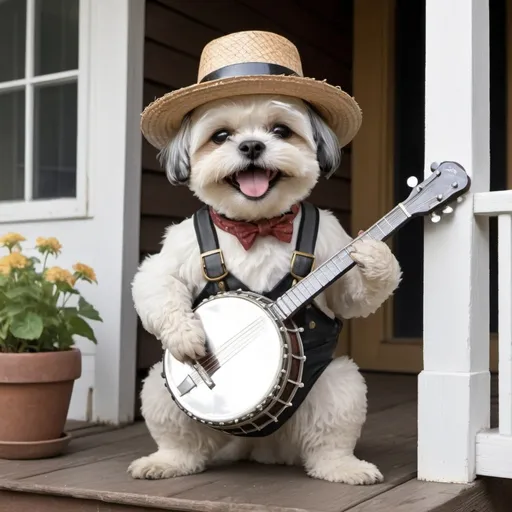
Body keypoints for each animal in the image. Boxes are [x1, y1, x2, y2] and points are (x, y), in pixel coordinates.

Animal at [127, 94, 400, 486]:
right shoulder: (177, 250)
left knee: (328, 442)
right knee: (183, 445)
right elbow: (156, 281)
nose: (252, 145)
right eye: (220, 136)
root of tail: (259, 444)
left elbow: (352, 296)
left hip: (339, 385)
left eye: (281, 131)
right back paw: (165, 463)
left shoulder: (333, 242)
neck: (258, 224)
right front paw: (185, 336)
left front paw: (377, 256)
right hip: (159, 392)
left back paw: (344, 468)